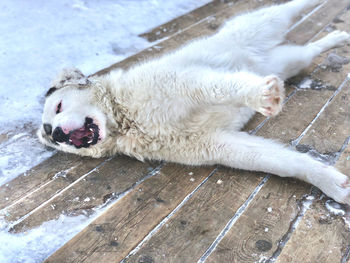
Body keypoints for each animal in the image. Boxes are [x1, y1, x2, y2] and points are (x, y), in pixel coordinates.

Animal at [37, 0, 350, 206]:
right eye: (49, 133)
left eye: (59, 107)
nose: (57, 134)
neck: (126, 119)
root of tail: (260, 56)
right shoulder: (221, 144)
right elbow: (285, 163)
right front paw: (331, 184)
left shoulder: (186, 82)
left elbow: (223, 88)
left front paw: (260, 96)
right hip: (289, 62)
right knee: (308, 51)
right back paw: (336, 39)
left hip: (260, 25)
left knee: (289, 8)